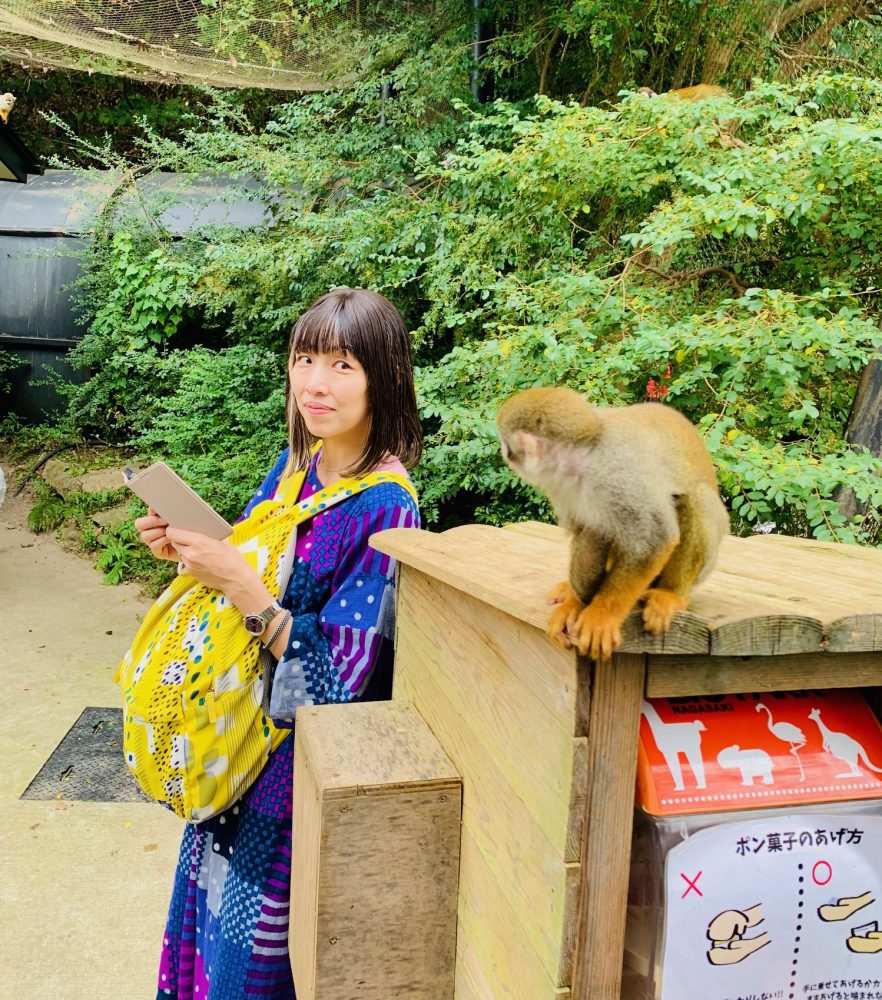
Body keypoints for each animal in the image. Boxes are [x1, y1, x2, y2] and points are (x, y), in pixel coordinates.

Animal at [497, 387, 729, 660]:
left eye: (506, 444)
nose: (503, 454)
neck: (582, 458)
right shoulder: (560, 486)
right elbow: (585, 531)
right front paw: (575, 602)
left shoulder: (617, 474)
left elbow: (654, 538)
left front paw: (602, 614)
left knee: (696, 497)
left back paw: (671, 595)